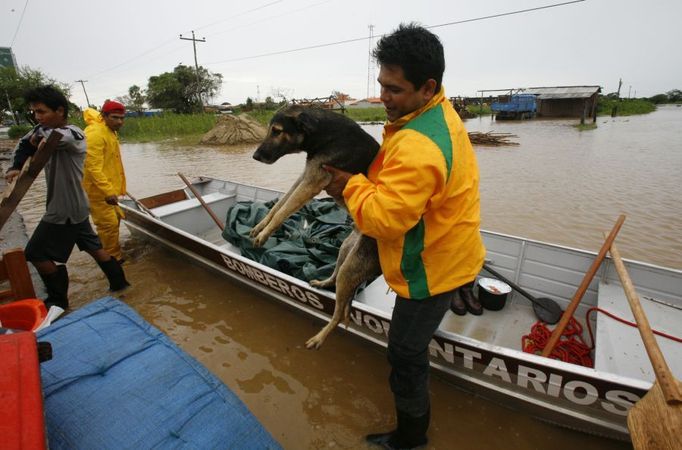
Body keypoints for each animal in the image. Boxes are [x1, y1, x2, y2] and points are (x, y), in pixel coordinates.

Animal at [250, 104, 380, 348]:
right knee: (336, 283)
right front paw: (261, 226)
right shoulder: (305, 176)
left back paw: (319, 339)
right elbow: (279, 205)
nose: (255, 156)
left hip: (352, 266)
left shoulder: (312, 182)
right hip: (346, 251)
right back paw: (322, 283)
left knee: (339, 315)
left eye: (277, 131)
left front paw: (265, 233)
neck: (323, 134)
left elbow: (283, 210)